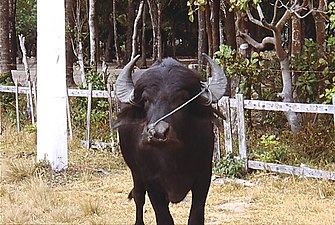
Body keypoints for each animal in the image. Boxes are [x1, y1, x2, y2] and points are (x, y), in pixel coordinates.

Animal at [113, 53, 228, 224]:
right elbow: (164, 218)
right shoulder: (151, 182)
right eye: (146, 99)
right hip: (135, 172)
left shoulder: (203, 177)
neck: (173, 158)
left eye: (182, 98)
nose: (158, 133)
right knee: (138, 196)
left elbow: (196, 216)